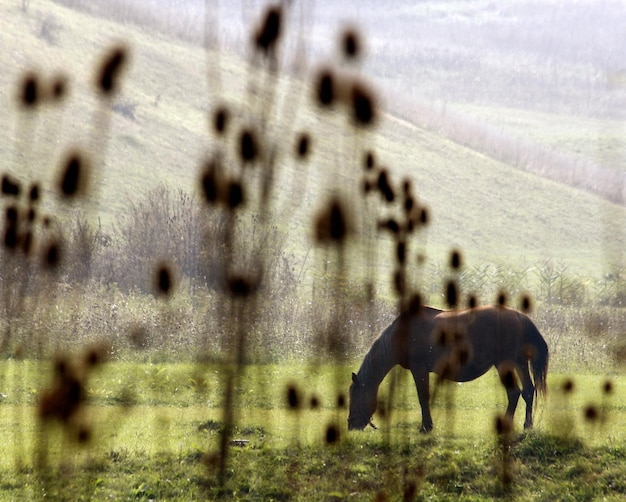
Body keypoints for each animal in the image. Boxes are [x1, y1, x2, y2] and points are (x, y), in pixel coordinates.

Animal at [346, 304, 544, 434]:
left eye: (355, 396)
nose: (351, 425)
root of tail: (519, 315)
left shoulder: (419, 370)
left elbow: (423, 397)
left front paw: (426, 427)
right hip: (519, 362)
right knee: (527, 390)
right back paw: (527, 425)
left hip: (505, 363)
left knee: (515, 392)